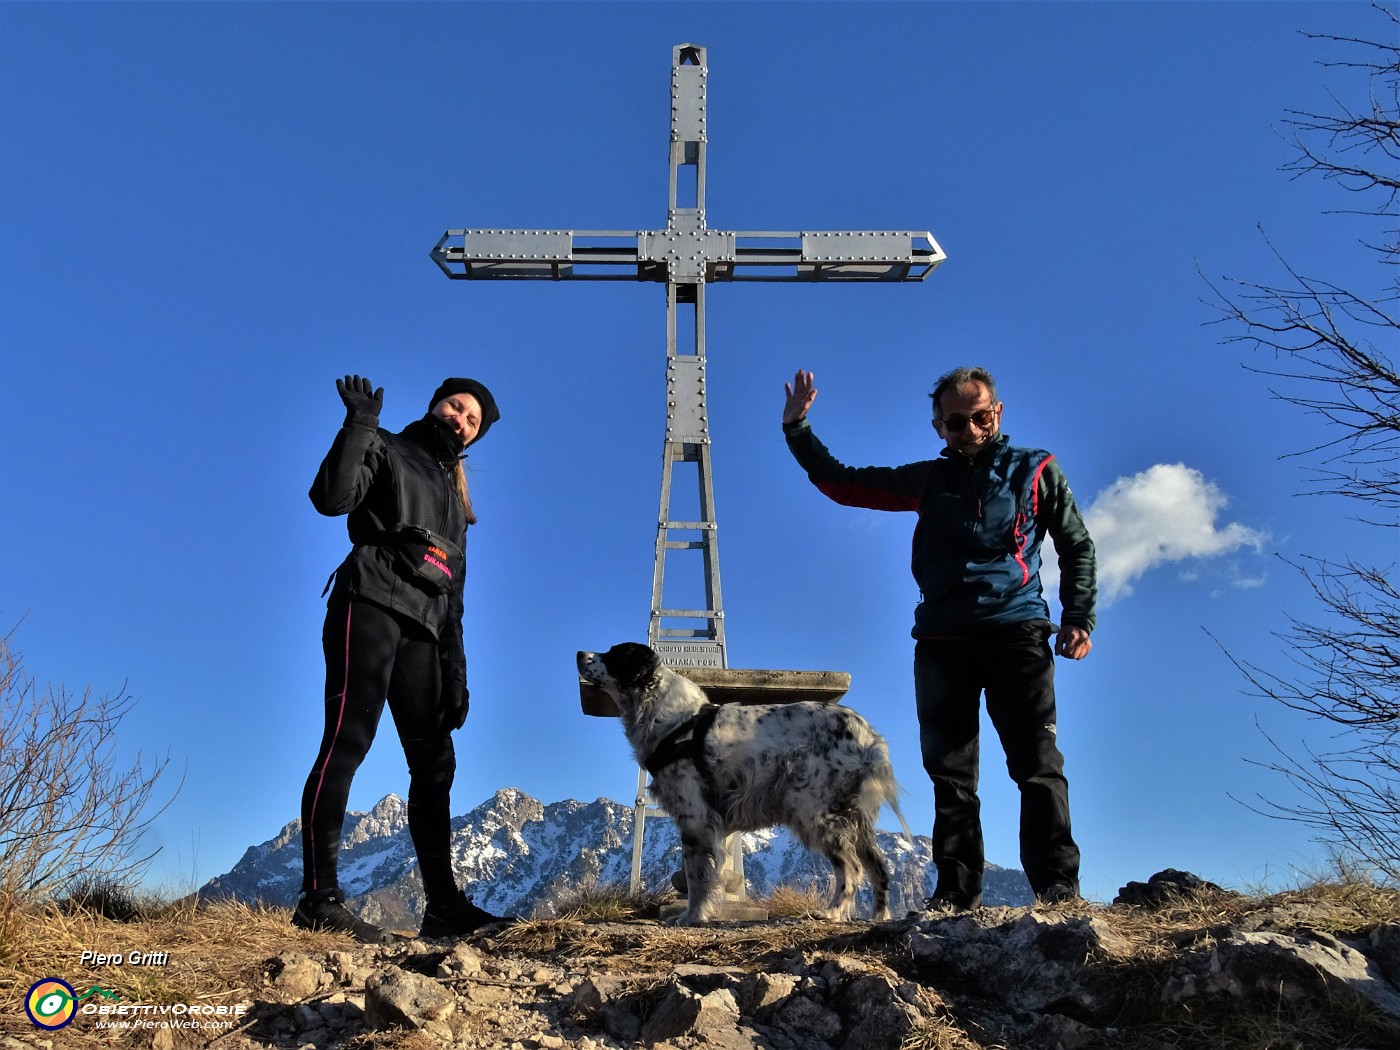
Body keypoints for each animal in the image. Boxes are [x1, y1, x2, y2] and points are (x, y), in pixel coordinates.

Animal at [576, 641, 912, 929]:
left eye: (613, 653)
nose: (579, 653)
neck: (671, 720)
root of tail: (866, 733)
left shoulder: (696, 816)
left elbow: (697, 874)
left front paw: (692, 916)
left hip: (812, 810)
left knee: (851, 868)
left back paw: (832, 912)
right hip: (854, 817)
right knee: (878, 867)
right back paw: (879, 917)